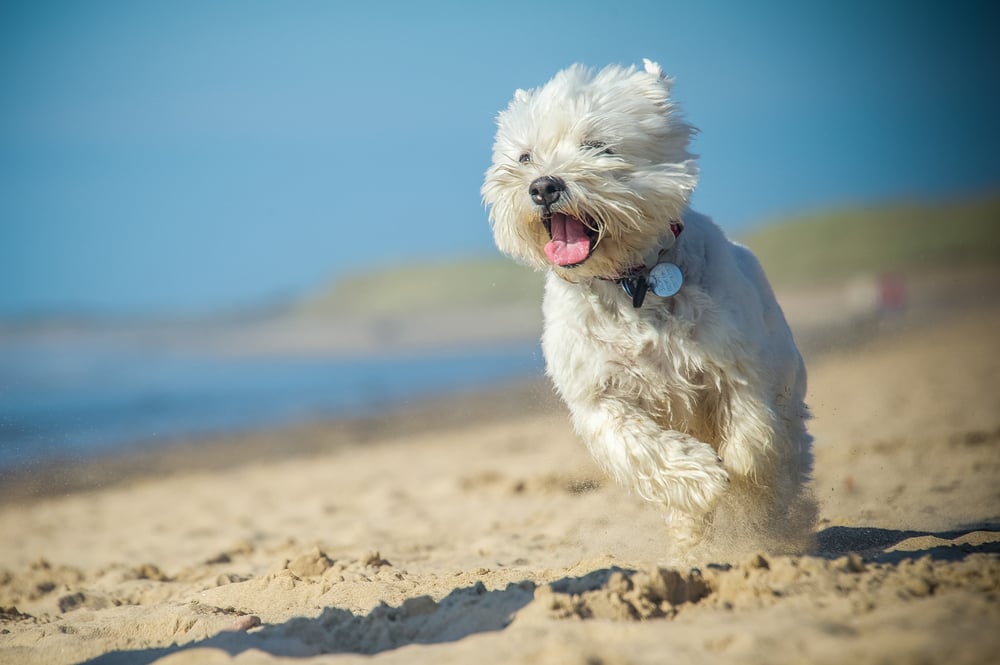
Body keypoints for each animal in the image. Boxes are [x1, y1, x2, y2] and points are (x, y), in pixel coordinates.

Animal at [480, 59, 816, 556]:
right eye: (524, 157)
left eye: (598, 146)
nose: (543, 187)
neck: (631, 281)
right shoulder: (598, 395)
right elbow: (639, 445)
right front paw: (702, 477)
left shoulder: (736, 365)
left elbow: (752, 439)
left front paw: (748, 492)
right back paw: (691, 536)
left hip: (785, 375)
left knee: (790, 441)